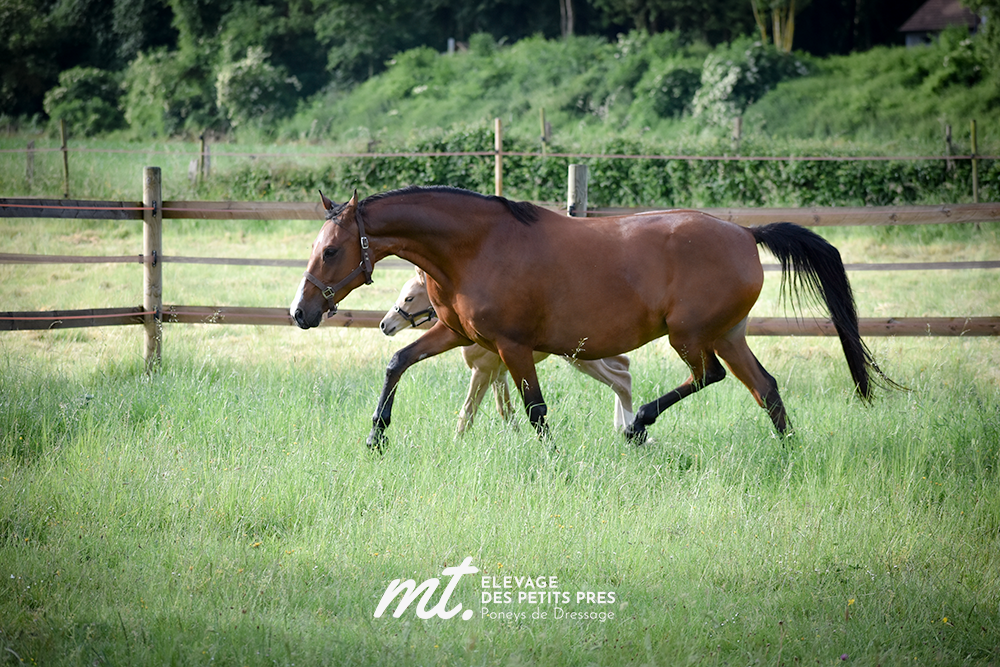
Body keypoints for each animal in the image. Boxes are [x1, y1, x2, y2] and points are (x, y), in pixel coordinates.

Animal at [379, 267, 635, 434]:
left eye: (409, 298)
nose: (384, 324)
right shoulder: (499, 374)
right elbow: (506, 412)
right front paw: (517, 438)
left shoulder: (483, 371)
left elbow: (467, 414)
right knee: (623, 365)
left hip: (581, 357)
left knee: (621, 379)